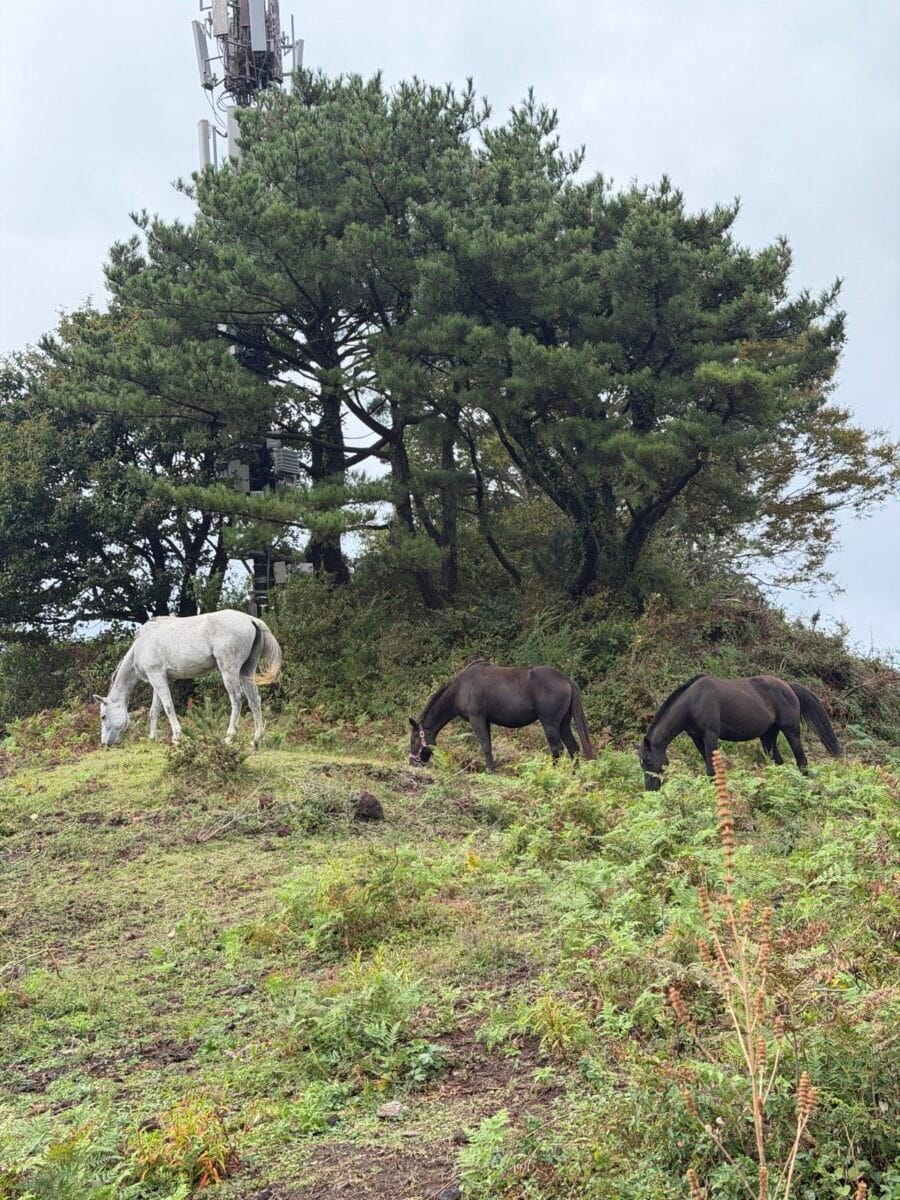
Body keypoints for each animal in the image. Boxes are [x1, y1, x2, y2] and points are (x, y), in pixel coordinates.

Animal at [95, 610, 283, 749]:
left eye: (103, 716)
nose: (105, 744)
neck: (141, 645)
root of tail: (251, 619)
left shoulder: (157, 677)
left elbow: (168, 707)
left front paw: (177, 737)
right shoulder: (158, 679)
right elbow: (155, 710)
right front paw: (152, 738)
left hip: (229, 671)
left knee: (237, 699)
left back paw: (229, 737)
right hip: (247, 670)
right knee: (254, 700)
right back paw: (256, 739)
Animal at [408, 660, 595, 772]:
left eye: (414, 739)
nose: (412, 762)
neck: (461, 688)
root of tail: (565, 679)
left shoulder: (477, 718)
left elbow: (485, 746)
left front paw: (490, 771)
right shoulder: (486, 721)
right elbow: (489, 745)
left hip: (550, 724)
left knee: (557, 749)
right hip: (564, 724)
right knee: (573, 748)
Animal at [638, 674, 841, 790]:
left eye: (648, 761)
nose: (651, 789)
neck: (694, 701)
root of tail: (789, 686)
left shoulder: (710, 735)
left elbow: (711, 767)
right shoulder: (696, 737)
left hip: (791, 731)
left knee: (801, 761)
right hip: (768, 736)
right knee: (778, 762)